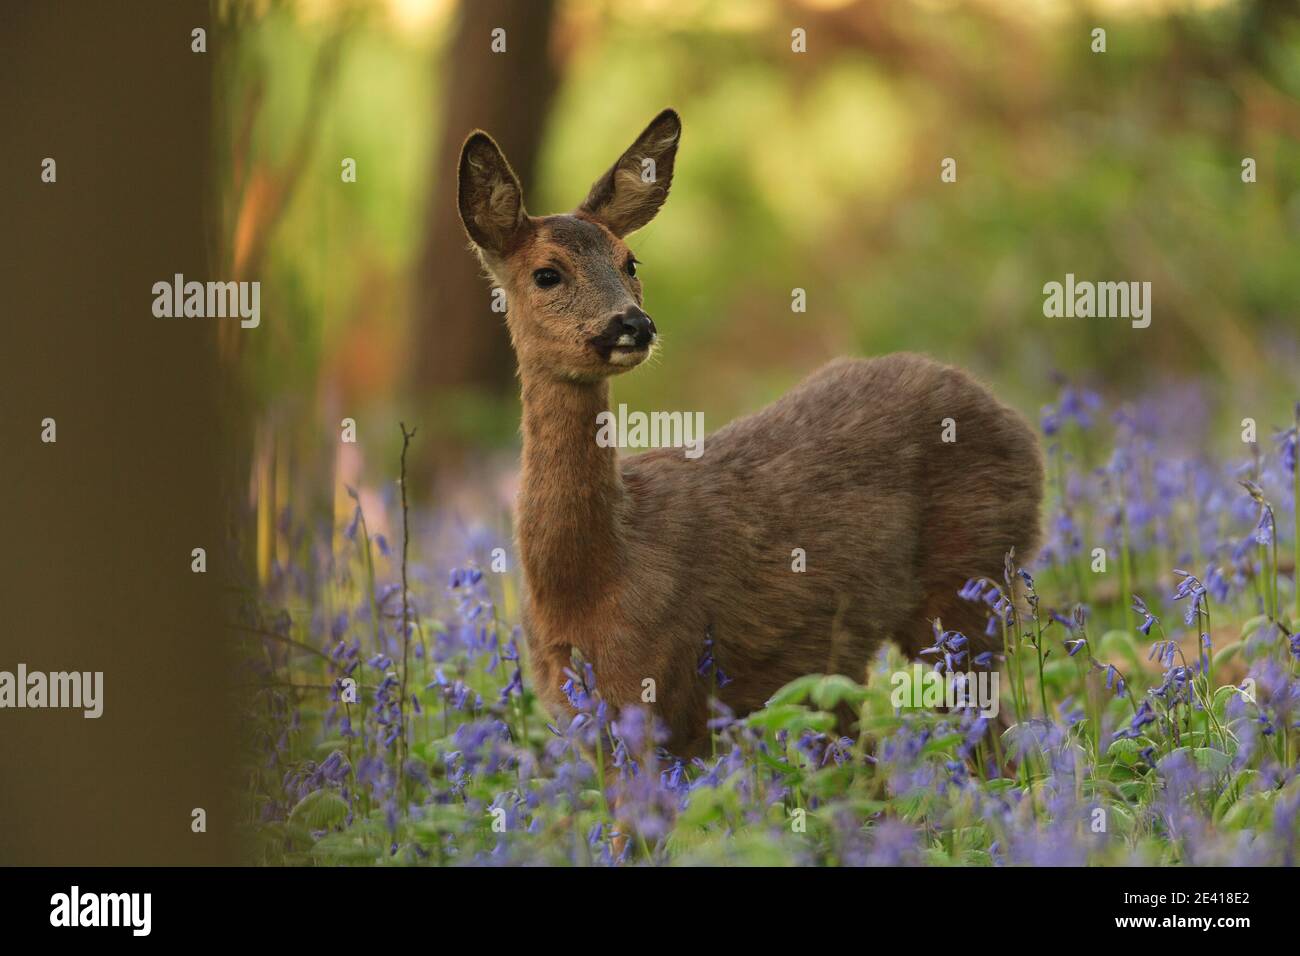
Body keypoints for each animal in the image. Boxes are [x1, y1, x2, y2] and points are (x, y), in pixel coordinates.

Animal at [456, 109, 1043, 757]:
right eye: (546, 274)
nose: (632, 324)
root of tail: (1014, 419)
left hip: (969, 587)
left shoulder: (658, 687)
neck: (589, 580)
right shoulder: (583, 715)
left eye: (630, 262)